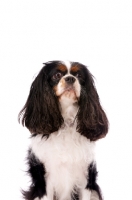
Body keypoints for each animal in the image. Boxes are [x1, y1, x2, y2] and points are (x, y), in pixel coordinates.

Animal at [18, 60, 108, 200]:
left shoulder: (85, 178)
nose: (70, 78)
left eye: (79, 76)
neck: (66, 122)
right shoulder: (45, 180)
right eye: (57, 75)